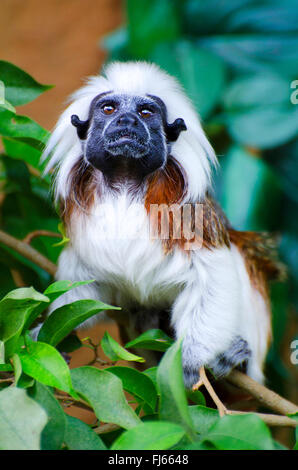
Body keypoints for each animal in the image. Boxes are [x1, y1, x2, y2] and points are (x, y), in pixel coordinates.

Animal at [41, 60, 282, 388]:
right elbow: (84, 286)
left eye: (145, 112)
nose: (127, 120)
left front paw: (190, 359)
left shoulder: (192, 215)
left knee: (241, 253)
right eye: (109, 108)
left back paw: (239, 359)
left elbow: (213, 273)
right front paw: (47, 334)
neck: (126, 181)